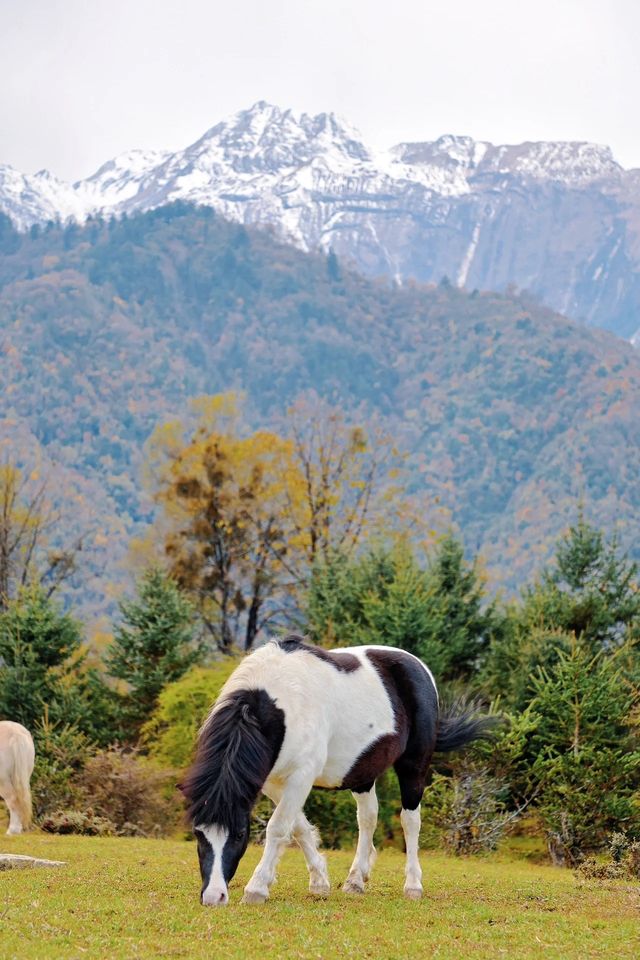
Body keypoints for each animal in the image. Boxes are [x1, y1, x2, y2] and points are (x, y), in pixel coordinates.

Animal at [182, 636, 492, 908]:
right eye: (198, 833)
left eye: (239, 835)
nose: (214, 897)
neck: (276, 701)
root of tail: (419, 667)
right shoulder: (272, 780)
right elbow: (297, 826)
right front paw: (320, 880)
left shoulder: (301, 775)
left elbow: (279, 827)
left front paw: (256, 889)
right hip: (363, 772)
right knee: (367, 818)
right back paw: (356, 880)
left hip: (414, 766)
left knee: (410, 821)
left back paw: (413, 886)